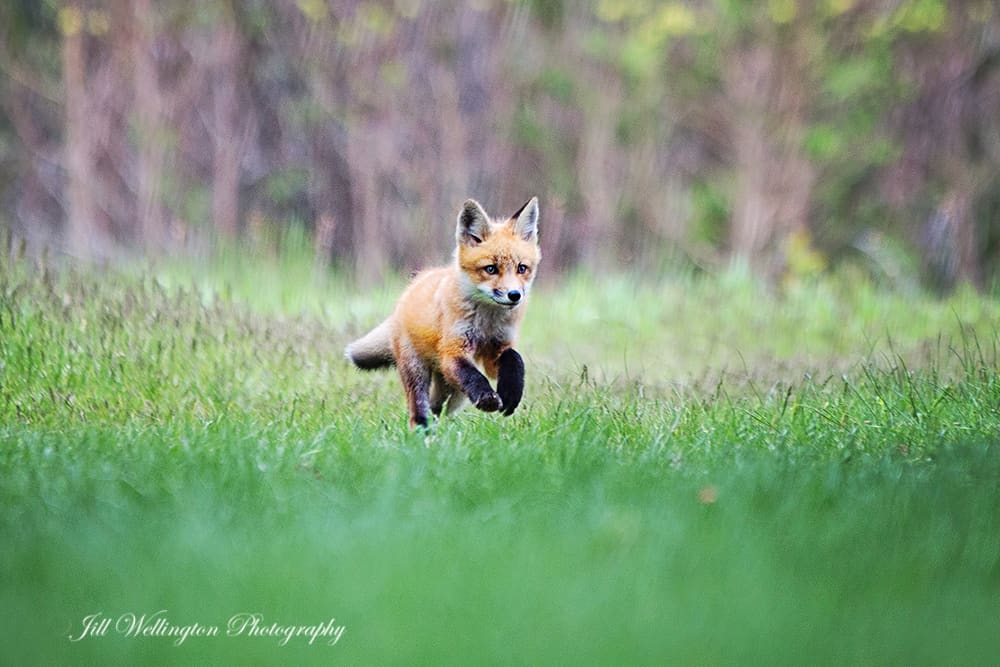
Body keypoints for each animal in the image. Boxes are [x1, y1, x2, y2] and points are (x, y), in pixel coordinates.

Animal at [348, 197, 544, 428]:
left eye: (522, 268)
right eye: (490, 269)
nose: (514, 295)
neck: (486, 321)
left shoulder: (497, 348)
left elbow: (515, 359)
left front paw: (511, 394)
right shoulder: (452, 351)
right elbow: (474, 377)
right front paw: (487, 398)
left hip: (454, 392)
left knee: (437, 408)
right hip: (418, 370)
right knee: (419, 409)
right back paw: (423, 431)